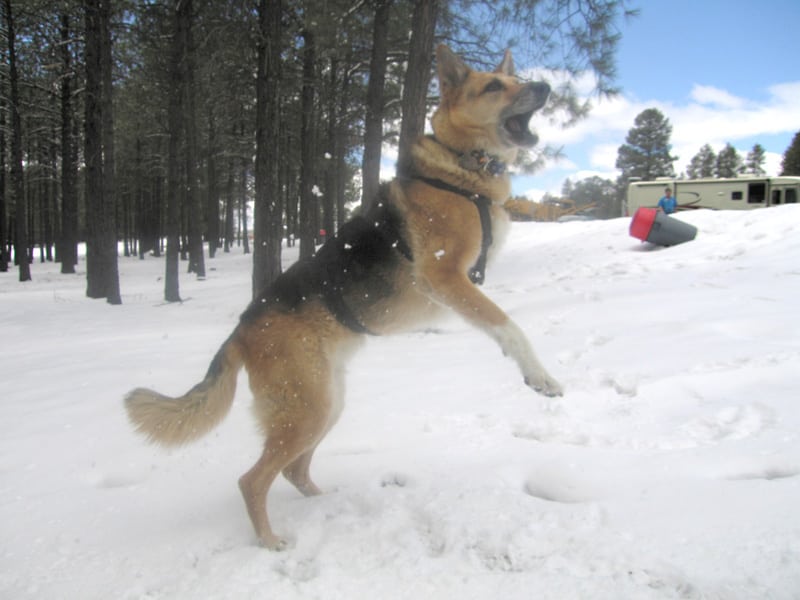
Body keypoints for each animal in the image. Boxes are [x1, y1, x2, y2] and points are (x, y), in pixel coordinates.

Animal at [126, 44, 564, 552]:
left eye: (513, 79)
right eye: (493, 86)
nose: (544, 87)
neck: (462, 169)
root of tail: (240, 330)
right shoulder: (444, 276)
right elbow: (507, 325)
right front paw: (540, 376)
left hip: (324, 404)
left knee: (293, 470)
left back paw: (321, 502)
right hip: (307, 410)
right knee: (252, 480)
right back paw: (270, 542)